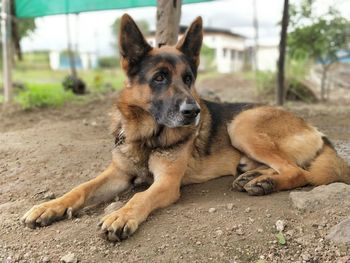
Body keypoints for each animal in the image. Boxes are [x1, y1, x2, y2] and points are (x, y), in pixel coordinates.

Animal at [21, 13, 350, 241]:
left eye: (189, 78)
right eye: (159, 78)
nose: (193, 112)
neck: (146, 136)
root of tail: (315, 130)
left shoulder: (166, 183)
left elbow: (141, 196)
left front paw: (122, 215)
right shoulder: (117, 174)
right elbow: (81, 187)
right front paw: (49, 206)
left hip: (241, 125)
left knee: (299, 172)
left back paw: (264, 182)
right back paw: (255, 176)